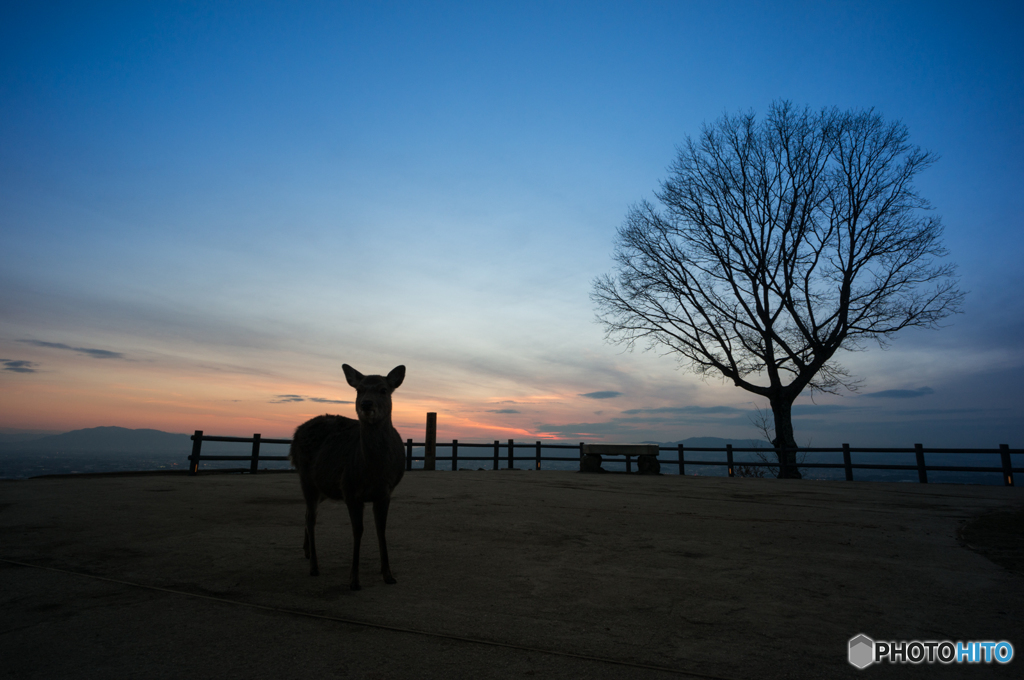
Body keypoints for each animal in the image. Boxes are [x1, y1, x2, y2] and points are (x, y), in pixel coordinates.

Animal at [290, 360, 405, 589]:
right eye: (359, 389)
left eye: (383, 389)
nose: (366, 404)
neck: (374, 471)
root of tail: (295, 434)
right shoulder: (350, 489)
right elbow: (358, 530)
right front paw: (354, 580)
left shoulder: (385, 492)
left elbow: (381, 528)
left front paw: (388, 575)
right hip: (306, 478)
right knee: (310, 518)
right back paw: (314, 566)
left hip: (324, 487)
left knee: (307, 514)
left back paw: (307, 552)